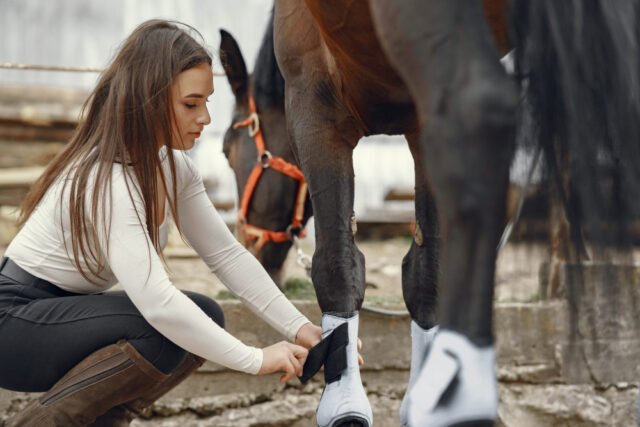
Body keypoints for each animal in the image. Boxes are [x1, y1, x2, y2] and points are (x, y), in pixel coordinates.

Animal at [221, 2, 640, 426]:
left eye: (227, 150)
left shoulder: (312, 98)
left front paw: (345, 402)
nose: (250, 247)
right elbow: (427, 274)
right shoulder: (420, 121)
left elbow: (337, 264)